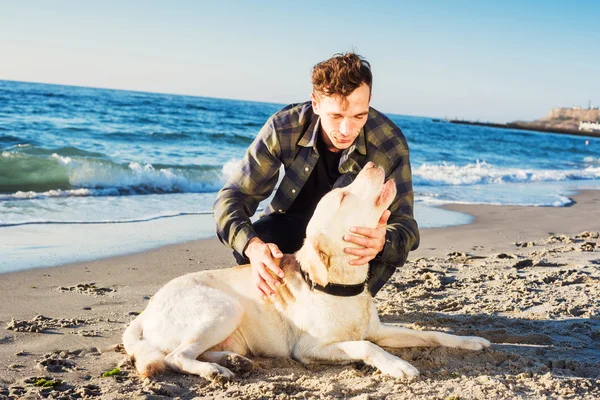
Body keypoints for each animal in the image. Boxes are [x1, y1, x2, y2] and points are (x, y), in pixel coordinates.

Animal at [123, 163, 492, 382]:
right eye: (341, 197)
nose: (371, 164)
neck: (343, 286)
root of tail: (146, 311)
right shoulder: (312, 348)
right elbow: (366, 347)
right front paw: (398, 365)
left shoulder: (379, 330)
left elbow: (432, 334)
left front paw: (470, 341)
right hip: (223, 308)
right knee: (176, 356)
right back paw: (214, 369)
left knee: (190, 351)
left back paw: (232, 360)